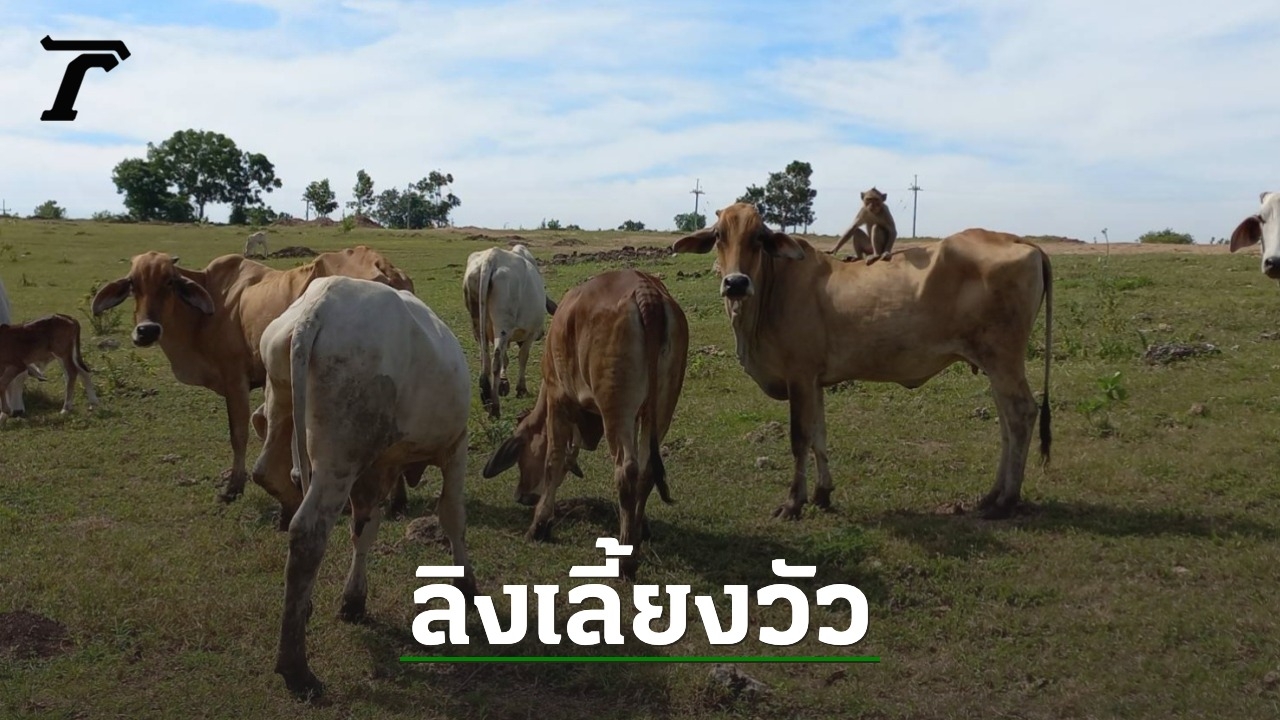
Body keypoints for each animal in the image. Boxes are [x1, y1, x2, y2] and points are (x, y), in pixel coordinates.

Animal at [89, 246, 416, 527]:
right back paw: (397, 501)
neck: (208, 311)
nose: (147, 330)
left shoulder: (235, 378)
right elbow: (268, 427)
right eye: (133, 284)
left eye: (170, 282)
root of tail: (383, 268)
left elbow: (239, 434)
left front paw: (233, 487)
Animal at [254, 276, 474, 699]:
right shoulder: (455, 449)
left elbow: (364, 530)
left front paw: (353, 600)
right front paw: (467, 586)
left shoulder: (376, 470)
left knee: (269, 474)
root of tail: (319, 306)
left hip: (281, 405)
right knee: (307, 533)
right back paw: (296, 668)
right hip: (339, 457)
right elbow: (453, 516)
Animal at [462, 244, 558, 418]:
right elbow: (522, 357)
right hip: (503, 326)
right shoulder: (530, 333)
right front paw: (521, 388)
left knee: (486, 360)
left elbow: (506, 359)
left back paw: (487, 399)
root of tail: (491, 258)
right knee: (495, 360)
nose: (541, 334)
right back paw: (495, 408)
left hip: (478, 324)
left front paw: (504, 384)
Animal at [482, 269, 689, 579]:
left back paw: (626, 562)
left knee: (626, 470)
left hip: (615, 408)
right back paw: (634, 539)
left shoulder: (558, 397)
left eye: (521, 456)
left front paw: (539, 525)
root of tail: (646, 291)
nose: (521, 496)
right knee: (647, 470)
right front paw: (641, 527)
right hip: (661, 408)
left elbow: (554, 460)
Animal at [671, 203, 1052, 520]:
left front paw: (794, 503)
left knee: (1021, 414)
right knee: (1006, 423)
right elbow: (818, 435)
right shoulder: (814, 381)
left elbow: (799, 438)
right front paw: (823, 493)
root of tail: (1018, 240)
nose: (735, 283)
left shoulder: (799, 375)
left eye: (760, 238)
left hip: (1003, 360)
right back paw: (991, 496)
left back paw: (1006, 501)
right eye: (719, 236)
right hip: (994, 365)